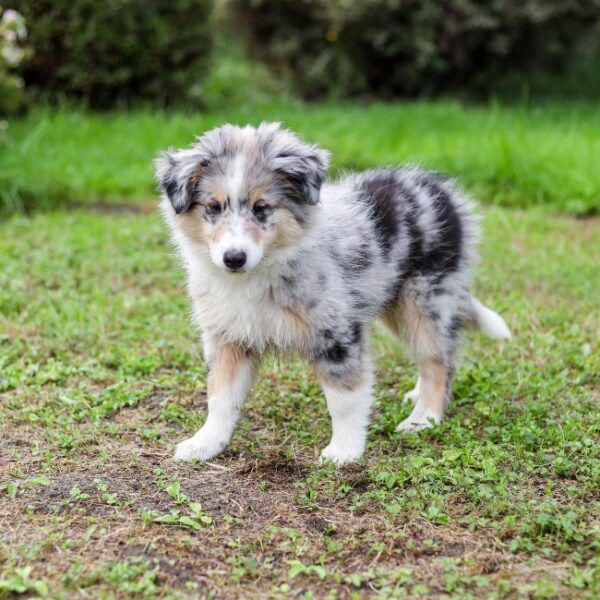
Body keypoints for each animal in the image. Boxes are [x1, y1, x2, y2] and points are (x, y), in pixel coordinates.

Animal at [155, 122, 510, 466]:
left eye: (261, 208)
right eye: (213, 207)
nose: (233, 258)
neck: (260, 273)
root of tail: (441, 192)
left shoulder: (338, 334)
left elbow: (344, 399)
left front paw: (344, 451)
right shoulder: (228, 336)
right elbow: (221, 397)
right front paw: (205, 444)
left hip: (426, 301)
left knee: (439, 360)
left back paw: (424, 418)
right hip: (396, 305)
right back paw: (416, 396)